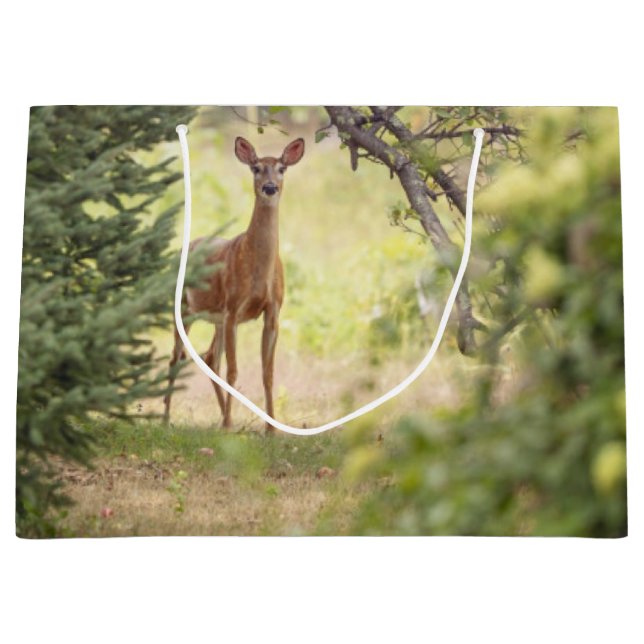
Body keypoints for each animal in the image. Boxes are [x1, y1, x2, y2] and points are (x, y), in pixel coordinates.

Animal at [163, 135, 305, 432]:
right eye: (256, 168)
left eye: (282, 168)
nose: (270, 187)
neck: (258, 270)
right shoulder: (233, 308)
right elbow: (234, 370)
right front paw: (231, 424)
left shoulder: (272, 311)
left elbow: (267, 371)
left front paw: (271, 428)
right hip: (184, 308)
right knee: (176, 358)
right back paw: (167, 418)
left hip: (215, 317)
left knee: (209, 357)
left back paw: (222, 418)